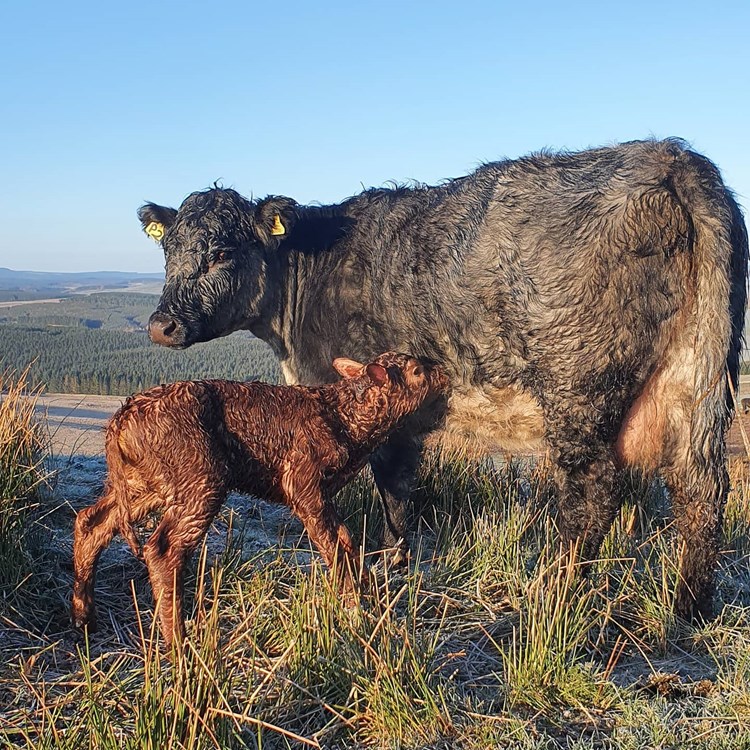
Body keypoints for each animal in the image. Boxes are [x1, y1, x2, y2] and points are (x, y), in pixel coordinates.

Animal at [139, 139, 748, 621]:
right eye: (168, 249)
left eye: (221, 252)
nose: (161, 324)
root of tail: (670, 157)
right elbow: (402, 486)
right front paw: (399, 559)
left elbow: (389, 484)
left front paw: (388, 563)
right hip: (696, 371)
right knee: (700, 486)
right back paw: (688, 607)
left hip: (579, 383)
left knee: (595, 487)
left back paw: (553, 592)